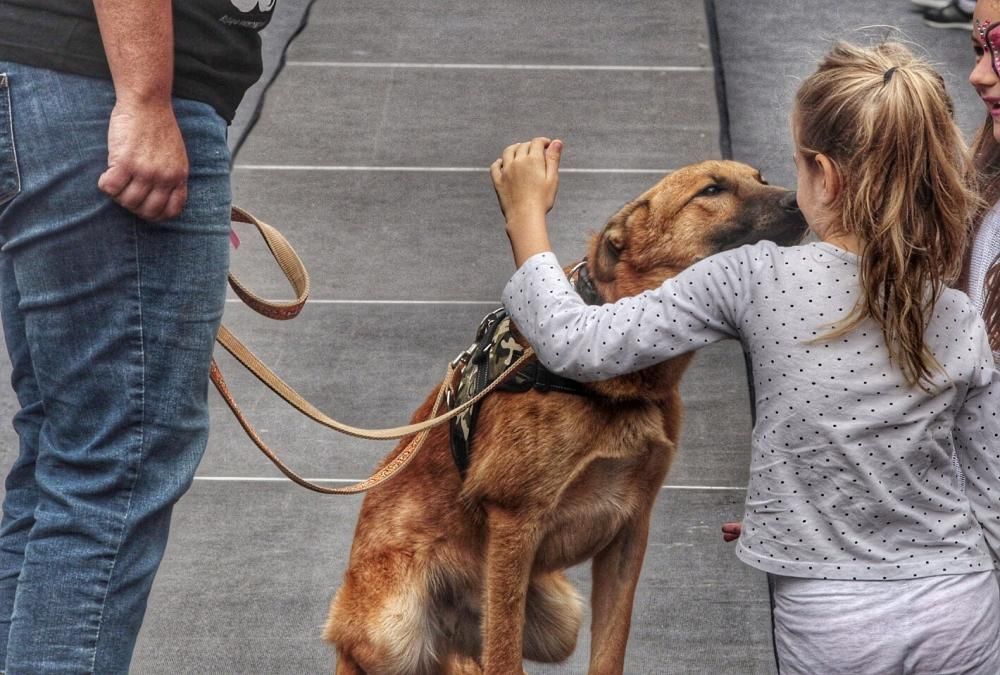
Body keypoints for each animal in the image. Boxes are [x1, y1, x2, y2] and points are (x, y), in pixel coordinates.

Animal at [324, 161, 808, 672]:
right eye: (712, 190)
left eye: (760, 178)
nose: (797, 201)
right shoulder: (515, 525)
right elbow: (505, 655)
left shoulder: (629, 532)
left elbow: (610, 648)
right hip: (394, 629)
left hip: (558, 618)